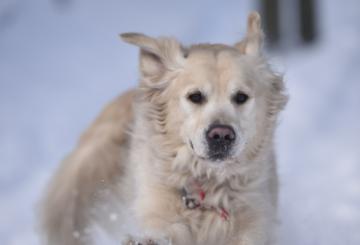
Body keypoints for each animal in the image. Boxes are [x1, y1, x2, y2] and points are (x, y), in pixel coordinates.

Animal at [40, 11, 286, 245]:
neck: (207, 189)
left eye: (241, 97)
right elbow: (163, 229)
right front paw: (146, 241)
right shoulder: (158, 207)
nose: (221, 135)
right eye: (195, 96)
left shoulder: (255, 218)